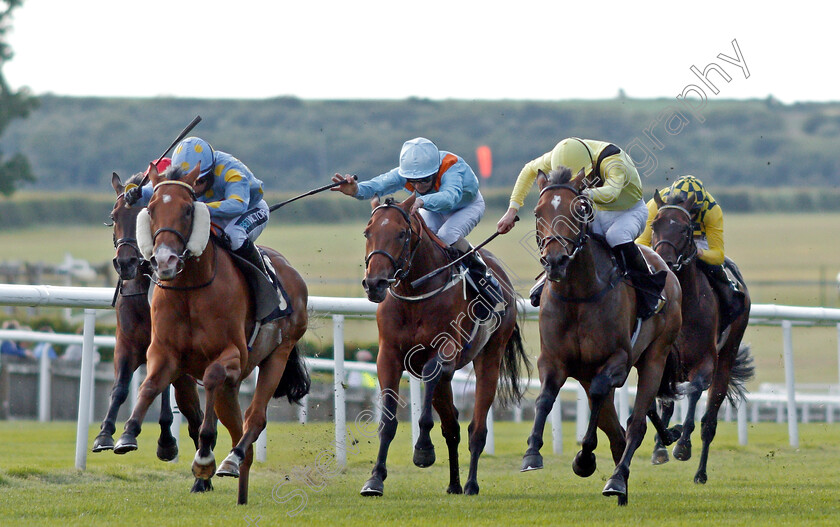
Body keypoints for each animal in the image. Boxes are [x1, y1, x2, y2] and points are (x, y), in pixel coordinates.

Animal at [93, 172, 203, 466]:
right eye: (114, 216)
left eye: (144, 215)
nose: (125, 262)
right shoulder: (126, 342)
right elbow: (120, 387)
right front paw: (105, 434)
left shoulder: (165, 347)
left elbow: (162, 391)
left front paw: (166, 441)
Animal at [111, 165, 308, 508]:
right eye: (151, 210)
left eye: (189, 210)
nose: (164, 260)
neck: (190, 289)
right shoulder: (162, 352)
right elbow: (149, 385)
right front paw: (127, 433)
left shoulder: (232, 355)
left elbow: (212, 383)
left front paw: (203, 458)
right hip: (233, 385)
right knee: (237, 425)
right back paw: (239, 483)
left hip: (278, 354)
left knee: (254, 419)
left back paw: (230, 459)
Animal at [358, 195, 528, 500]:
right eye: (368, 233)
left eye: (401, 234)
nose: (375, 283)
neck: (415, 293)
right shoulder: (388, 357)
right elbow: (388, 421)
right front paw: (375, 479)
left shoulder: (446, 351)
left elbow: (430, 376)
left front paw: (423, 450)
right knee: (452, 427)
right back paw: (454, 484)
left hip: (490, 356)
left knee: (476, 428)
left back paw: (470, 483)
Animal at [524, 169, 684, 508]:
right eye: (537, 213)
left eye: (578, 210)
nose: (554, 261)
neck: (578, 295)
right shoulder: (553, 360)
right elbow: (545, 398)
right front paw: (532, 453)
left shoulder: (617, 361)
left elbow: (601, 396)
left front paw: (584, 458)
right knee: (617, 432)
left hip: (655, 357)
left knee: (635, 425)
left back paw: (617, 480)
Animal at [648, 189, 756, 482]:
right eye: (654, 224)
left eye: (685, 229)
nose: (664, 263)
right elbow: (660, 398)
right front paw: (661, 444)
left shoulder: (705, 361)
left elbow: (695, 390)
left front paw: (683, 444)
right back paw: (661, 446)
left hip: (727, 355)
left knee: (709, 420)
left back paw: (700, 472)